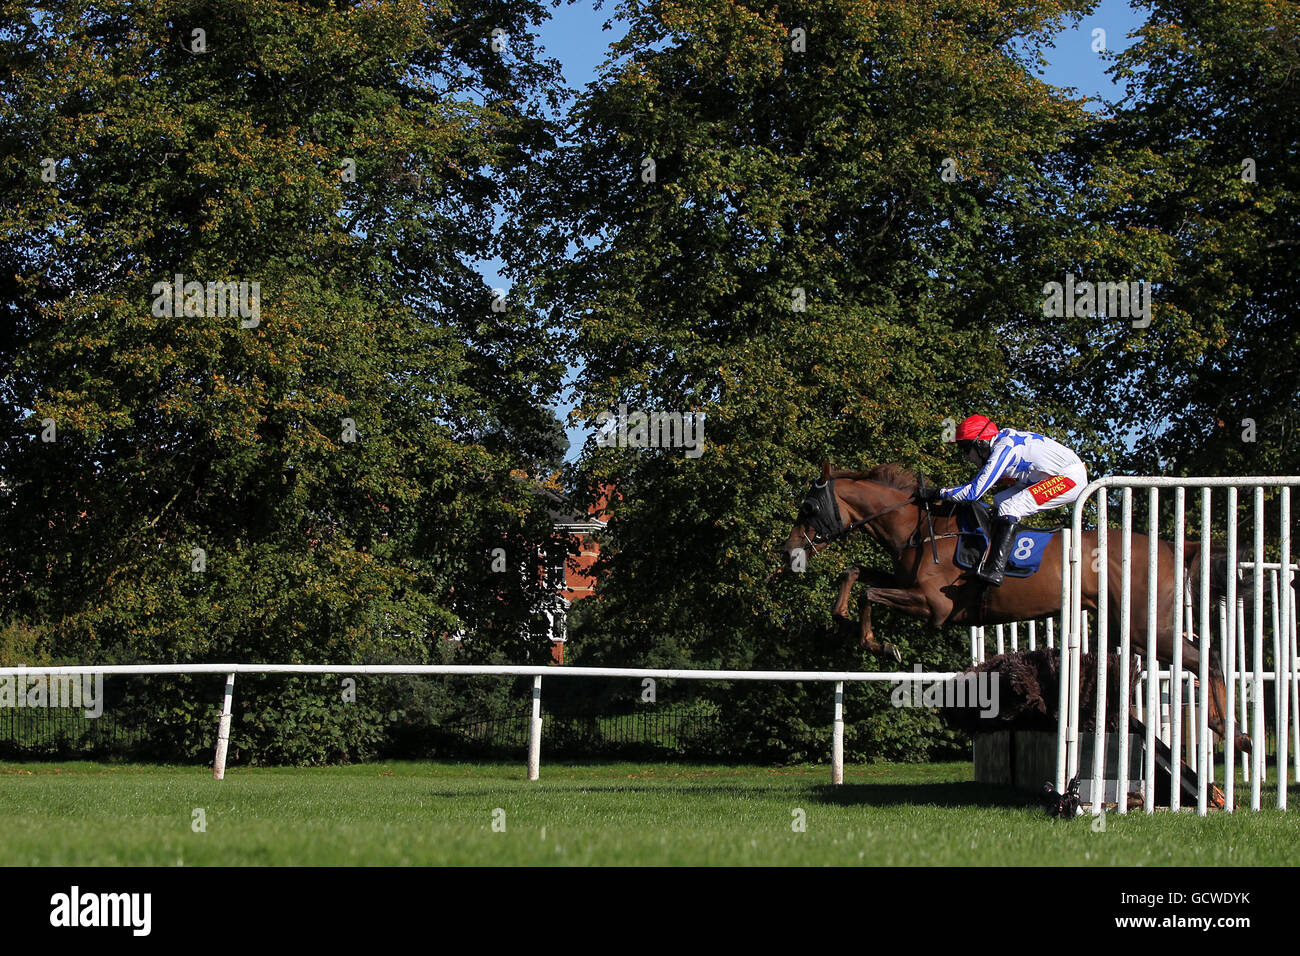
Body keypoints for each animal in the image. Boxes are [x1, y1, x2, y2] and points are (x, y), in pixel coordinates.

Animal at [774, 463, 1242, 754]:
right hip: (1139, 628)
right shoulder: (906, 583)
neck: (920, 529)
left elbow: (871, 593)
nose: (788, 552)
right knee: (1207, 657)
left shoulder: (933, 607)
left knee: (1209, 658)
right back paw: (1230, 732)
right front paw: (848, 620)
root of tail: (1175, 546)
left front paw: (880, 644)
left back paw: (1231, 732)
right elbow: (854, 574)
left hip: (1148, 627)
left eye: (807, 509)